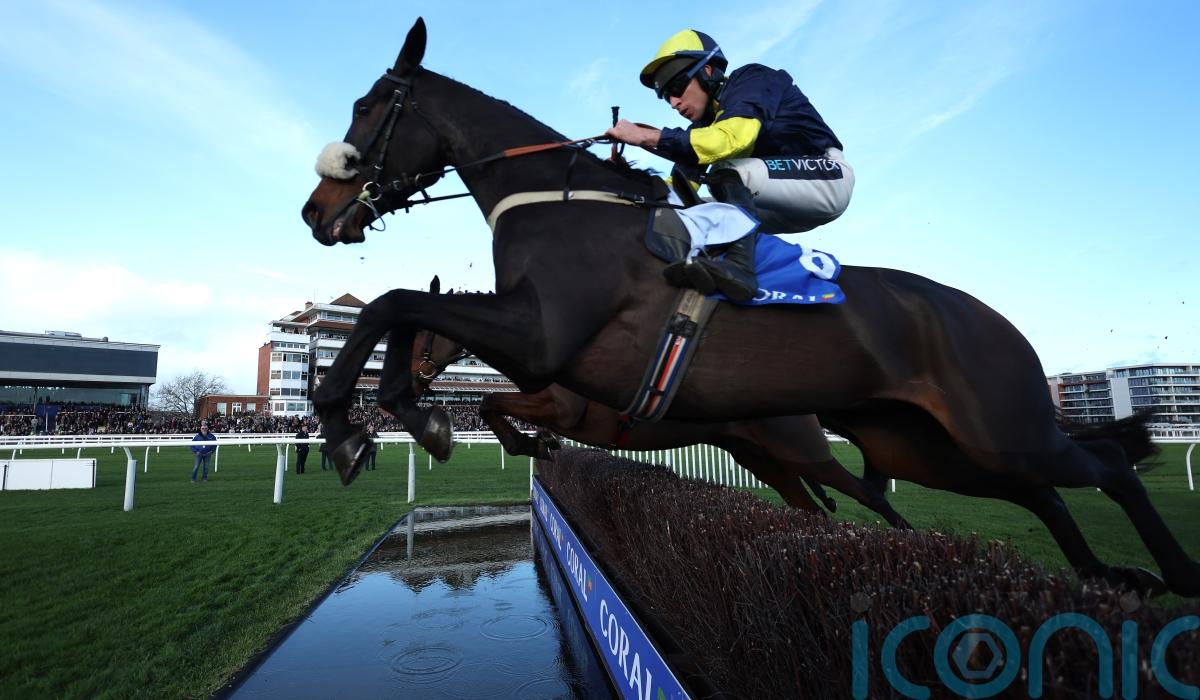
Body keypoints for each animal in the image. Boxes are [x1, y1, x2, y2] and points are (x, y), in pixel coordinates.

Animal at [300, 18, 1198, 597]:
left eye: (368, 107)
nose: (317, 210)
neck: (559, 201)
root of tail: (990, 318)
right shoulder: (532, 347)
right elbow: (411, 321)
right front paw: (407, 415)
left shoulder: (546, 336)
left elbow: (393, 303)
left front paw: (348, 420)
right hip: (922, 443)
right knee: (1037, 491)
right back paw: (1103, 574)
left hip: (994, 427)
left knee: (1106, 466)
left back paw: (1174, 571)